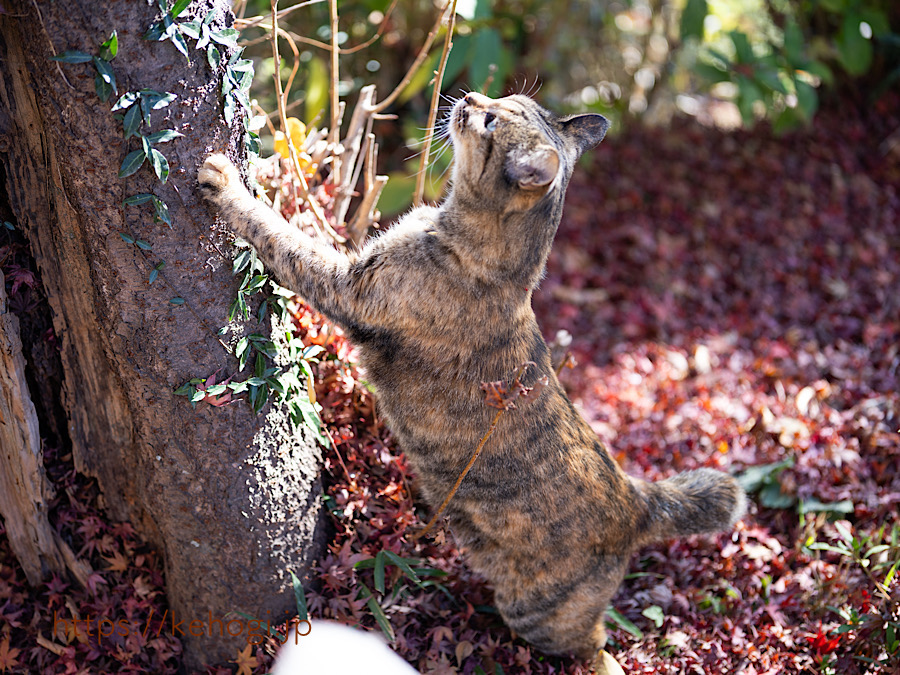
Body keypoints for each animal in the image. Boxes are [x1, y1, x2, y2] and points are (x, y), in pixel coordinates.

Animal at [200, 92, 748, 664]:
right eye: (505, 99)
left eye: (490, 121)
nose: (468, 98)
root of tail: (635, 498)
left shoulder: (347, 286)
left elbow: (283, 234)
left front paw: (228, 180)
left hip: (541, 615)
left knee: (595, 650)